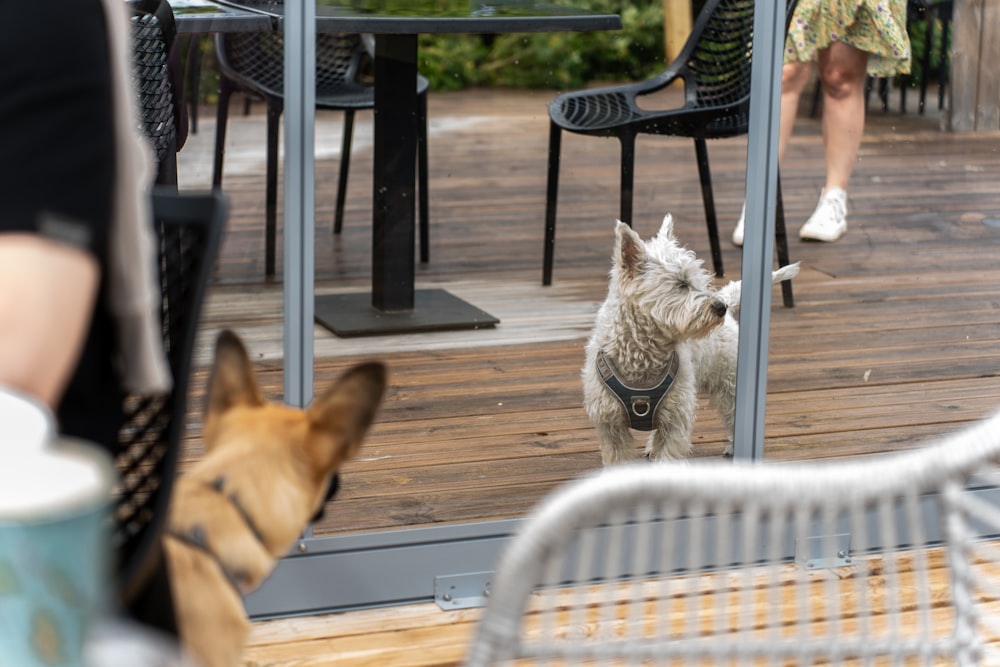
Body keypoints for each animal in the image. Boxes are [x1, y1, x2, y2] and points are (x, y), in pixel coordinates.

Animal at [580, 214, 796, 464]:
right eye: (681, 284)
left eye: (699, 279)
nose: (720, 307)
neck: (642, 354)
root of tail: (726, 296)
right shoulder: (611, 425)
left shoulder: (676, 418)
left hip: (729, 382)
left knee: (733, 413)